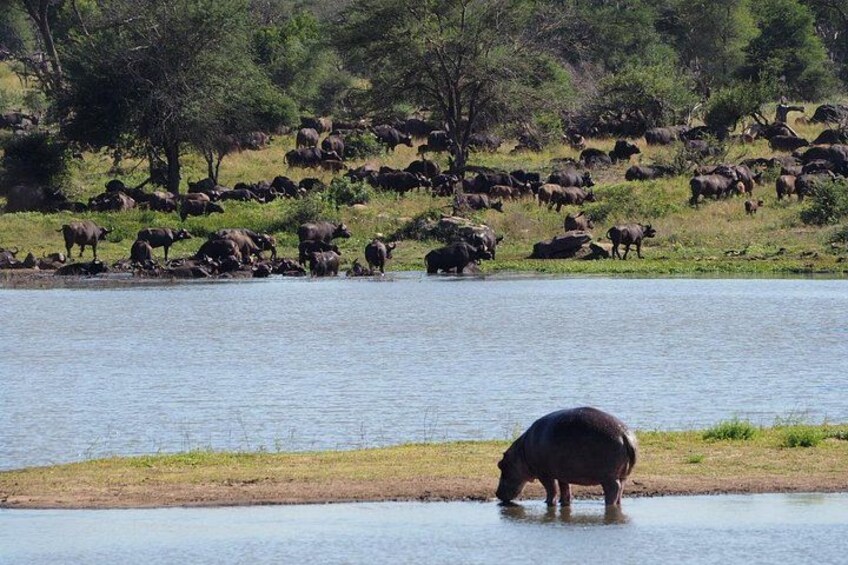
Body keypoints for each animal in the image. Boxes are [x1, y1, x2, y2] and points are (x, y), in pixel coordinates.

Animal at [496, 407, 638, 507]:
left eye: (500, 465)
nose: (496, 493)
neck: (521, 453)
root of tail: (624, 435)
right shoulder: (562, 473)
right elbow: (565, 489)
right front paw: (563, 502)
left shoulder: (544, 474)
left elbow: (551, 489)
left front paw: (548, 503)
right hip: (623, 475)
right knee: (621, 489)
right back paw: (617, 503)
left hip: (608, 476)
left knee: (614, 488)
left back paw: (609, 504)